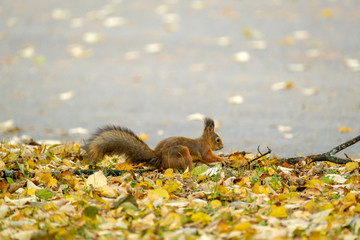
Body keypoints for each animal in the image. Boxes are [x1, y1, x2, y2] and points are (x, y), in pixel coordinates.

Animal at [83, 117, 225, 171]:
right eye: (218, 139)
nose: (222, 147)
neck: (205, 141)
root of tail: (159, 158)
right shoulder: (204, 150)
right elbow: (208, 157)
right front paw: (222, 159)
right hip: (182, 151)